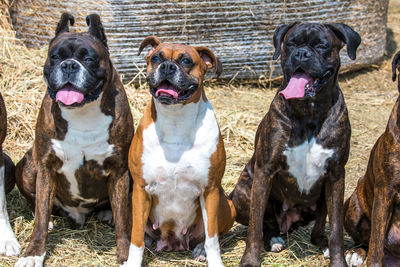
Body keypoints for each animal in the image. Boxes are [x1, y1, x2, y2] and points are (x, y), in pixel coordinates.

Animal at [14, 13, 134, 266]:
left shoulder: (120, 170)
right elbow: (40, 220)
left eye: (88, 59)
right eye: (55, 57)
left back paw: (107, 213)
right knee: (38, 204)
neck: (82, 111)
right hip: (29, 166)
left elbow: (123, 221)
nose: (69, 65)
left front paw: (127, 255)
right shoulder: (46, 167)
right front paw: (33, 254)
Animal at [125, 36, 236, 266]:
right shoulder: (140, 189)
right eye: (156, 58)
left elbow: (213, 238)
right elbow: (136, 237)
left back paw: (200, 249)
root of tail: (173, 242)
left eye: (186, 61)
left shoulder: (210, 190)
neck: (175, 119)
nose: (167, 67)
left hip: (227, 205)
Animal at [230, 22, 360, 266]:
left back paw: (322, 245)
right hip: (243, 191)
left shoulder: (336, 175)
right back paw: (274, 240)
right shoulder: (264, 172)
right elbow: (254, 226)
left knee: (317, 228)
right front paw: (250, 260)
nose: (301, 54)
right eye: (290, 44)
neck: (309, 112)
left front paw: (338, 260)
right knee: (265, 224)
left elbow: (336, 228)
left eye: (321, 45)